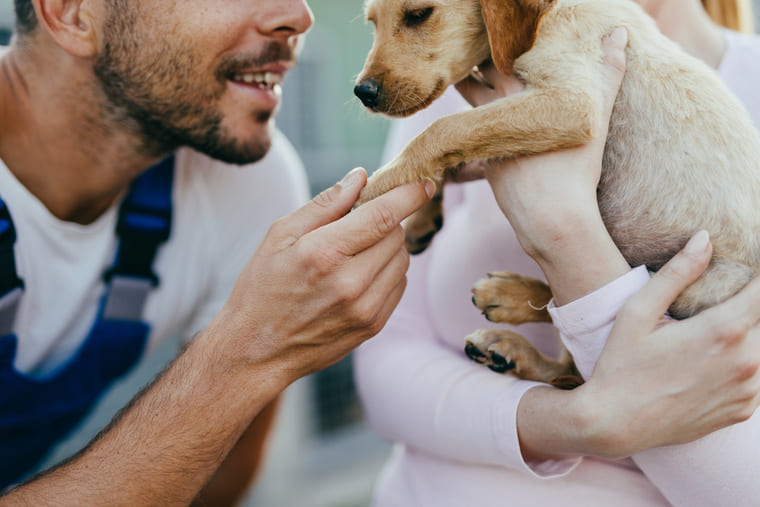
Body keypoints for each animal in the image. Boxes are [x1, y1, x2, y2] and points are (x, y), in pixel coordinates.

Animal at [354, 0, 760, 384]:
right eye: (371, 23)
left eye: (419, 14)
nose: (362, 92)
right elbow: (454, 153)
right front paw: (421, 218)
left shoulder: (571, 102)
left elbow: (443, 128)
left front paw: (372, 190)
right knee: (566, 364)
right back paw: (507, 340)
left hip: (701, 286)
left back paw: (510, 302)